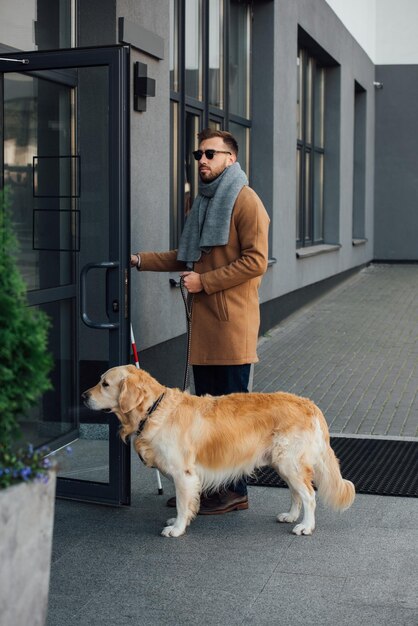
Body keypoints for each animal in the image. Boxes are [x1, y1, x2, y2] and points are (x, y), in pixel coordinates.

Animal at [82, 366, 356, 536]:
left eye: (104, 384)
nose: (83, 396)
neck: (154, 409)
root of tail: (309, 404)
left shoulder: (183, 474)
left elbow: (182, 503)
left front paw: (177, 528)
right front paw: (179, 522)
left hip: (290, 462)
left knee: (309, 495)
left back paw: (305, 526)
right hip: (283, 463)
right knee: (297, 494)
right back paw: (290, 516)